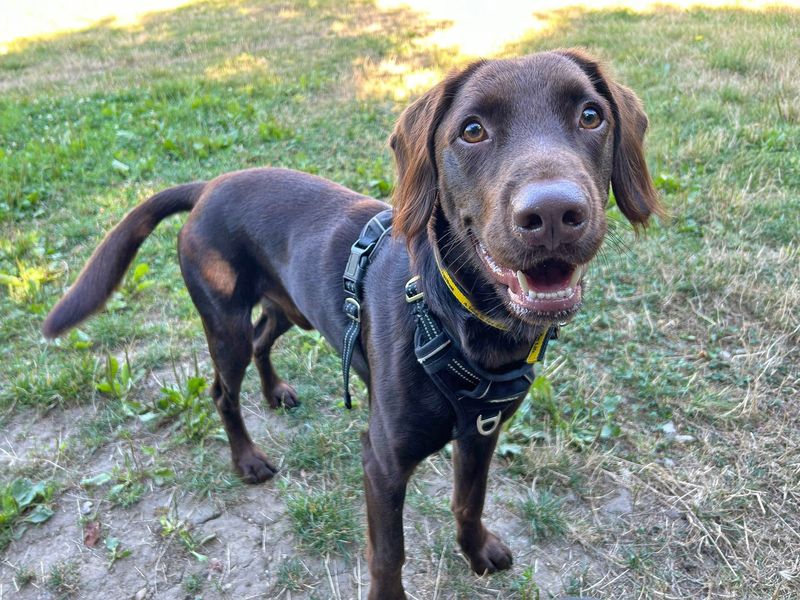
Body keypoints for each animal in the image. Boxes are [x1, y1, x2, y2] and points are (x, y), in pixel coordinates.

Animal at [40, 50, 660, 596]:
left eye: (591, 116)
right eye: (472, 130)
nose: (553, 212)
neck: (461, 324)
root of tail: (208, 186)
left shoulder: (481, 434)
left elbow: (469, 499)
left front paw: (476, 550)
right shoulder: (381, 462)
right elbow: (389, 554)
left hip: (289, 307)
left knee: (265, 342)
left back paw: (276, 392)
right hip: (224, 321)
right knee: (222, 389)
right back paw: (247, 459)